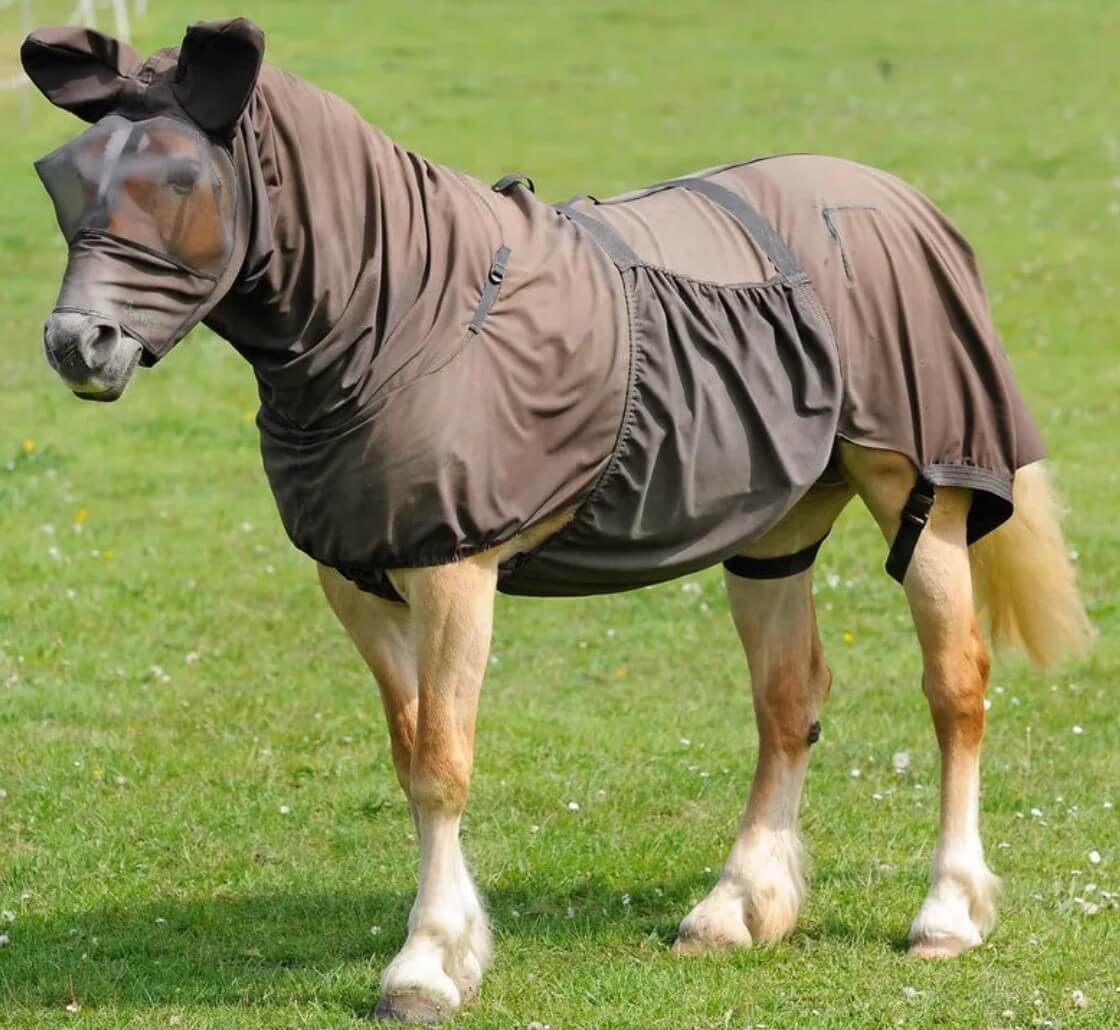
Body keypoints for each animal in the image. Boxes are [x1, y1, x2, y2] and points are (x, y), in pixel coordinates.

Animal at [22, 17, 1092, 1024]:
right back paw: (735, 907)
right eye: (60, 176)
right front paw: (452, 944)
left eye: (179, 179)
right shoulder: (357, 578)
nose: (79, 344)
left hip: (922, 492)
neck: (403, 318)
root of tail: (904, 203)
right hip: (774, 530)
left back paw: (947, 911)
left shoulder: (455, 569)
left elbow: (443, 765)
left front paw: (426, 965)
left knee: (956, 688)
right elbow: (410, 753)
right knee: (789, 702)